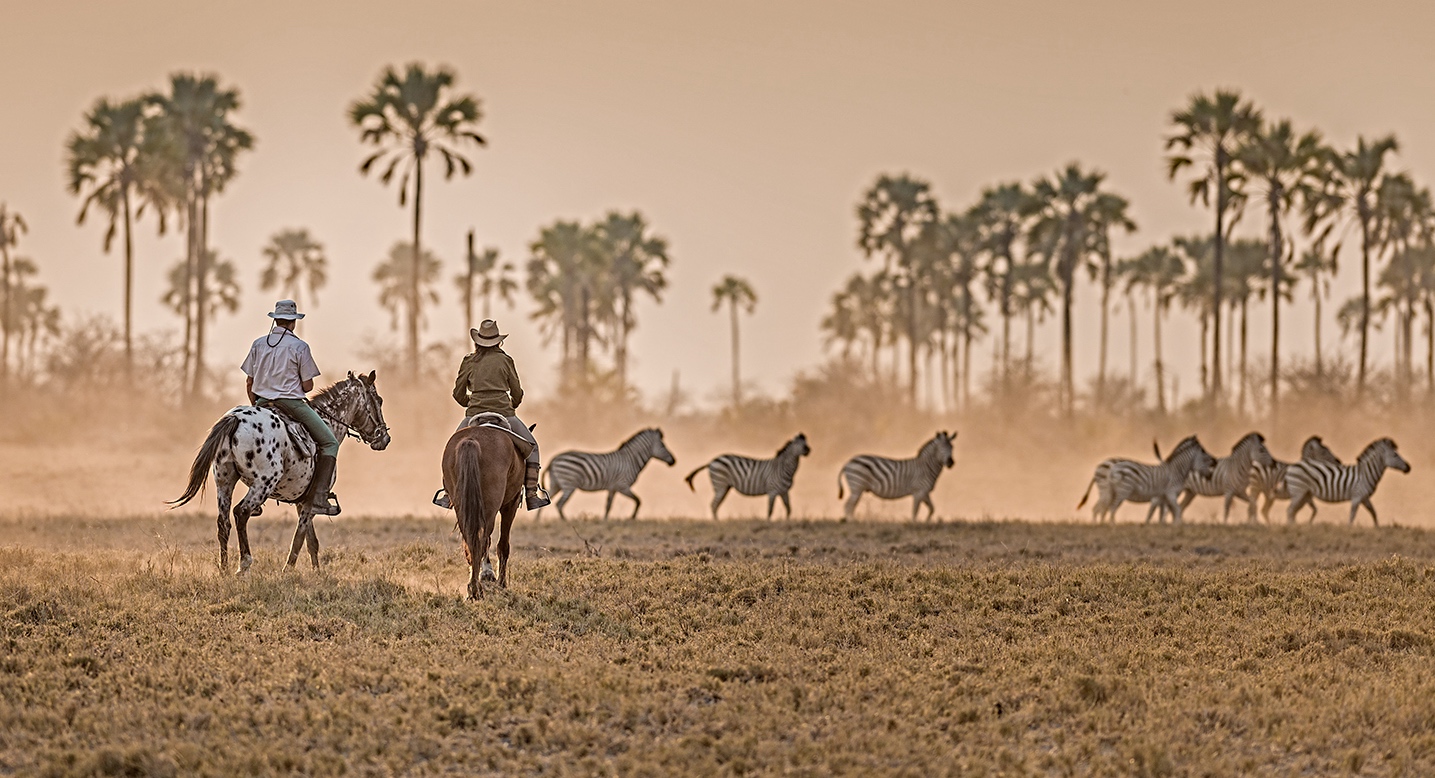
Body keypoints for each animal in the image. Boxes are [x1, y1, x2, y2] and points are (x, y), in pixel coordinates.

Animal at [170, 373, 390, 574]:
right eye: (378, 400)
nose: (384, 438)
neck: (328, 421)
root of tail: (236, 419)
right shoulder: (311, 503)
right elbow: (299, 538)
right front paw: (288, 571)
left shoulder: (302, 501)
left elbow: (312, 542)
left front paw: (317, 573)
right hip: (264, 483)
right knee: (241, 512)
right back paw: (244, 565)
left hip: (224, 482)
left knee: (223, 522)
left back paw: (224, 570)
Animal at [441, 422, 528, 597]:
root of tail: (471, 440)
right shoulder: (511, 504)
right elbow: (503, 545)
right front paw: (500, 582)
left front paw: (487, 574)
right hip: (491, 508)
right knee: (481, 541)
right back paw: (476, 589)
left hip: (463, 508)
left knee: (471, 540)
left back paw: (472, 587)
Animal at [542, 427, 677, 525]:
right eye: (663, 446)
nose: (674, 461)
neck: (630, 460)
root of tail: (553, 459)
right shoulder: (623, 486)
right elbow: (638, 501)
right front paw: (632, 518)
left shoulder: (613, 488)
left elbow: (608, 506)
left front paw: (605, 521)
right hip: (569, 484)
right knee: (559, 504)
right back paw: (566, 522)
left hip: (556, 484)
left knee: (547, 499)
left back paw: (538, 521)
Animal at [1079, 436, 1216, 528]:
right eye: (1206, 457)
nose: (1214, 462)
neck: (1176, 470)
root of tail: (1112, 468)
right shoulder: (1170, 493)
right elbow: (1176, 510)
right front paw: (1177, 525)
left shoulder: (1162, 496)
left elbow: (1163, 512)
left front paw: (1163, 526)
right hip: (1121, 490)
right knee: (1109, 508)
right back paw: (1111, 525)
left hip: (1110, 491)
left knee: (1100, 508)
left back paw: (1100, 524)